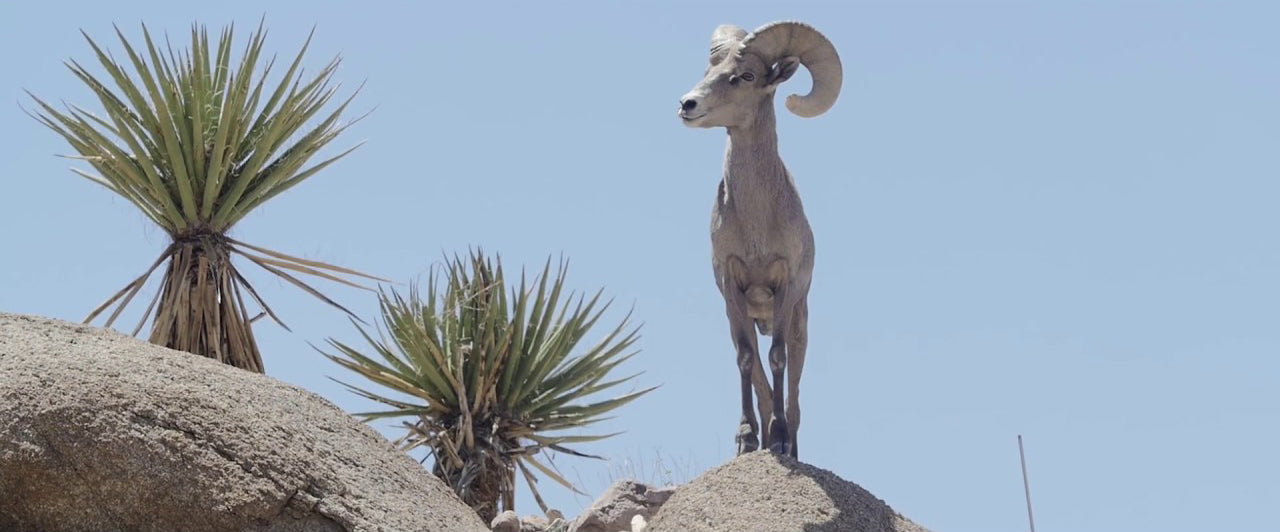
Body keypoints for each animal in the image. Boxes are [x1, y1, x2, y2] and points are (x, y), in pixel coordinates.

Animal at [678, 21, 842, 458]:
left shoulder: (785, 287)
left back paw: (788, 445)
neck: (756, 228)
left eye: (746, 76)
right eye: (710, 70)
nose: (687, 105)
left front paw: (780, 440)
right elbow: (747, 359)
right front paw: (747, 439)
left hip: (800, 323)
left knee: (795, 392)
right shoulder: (732, 289)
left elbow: (777, 358)